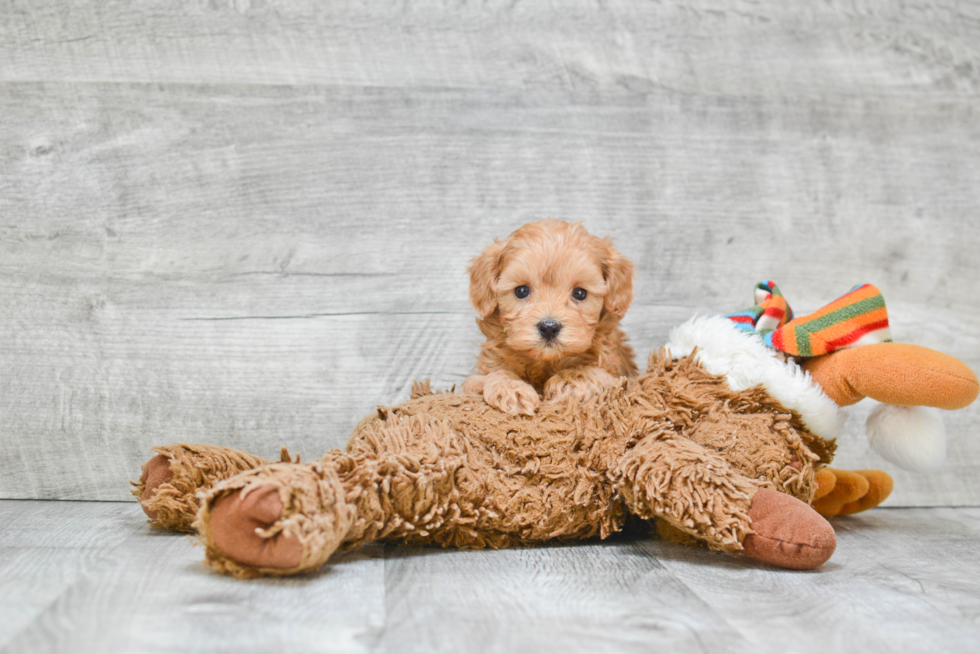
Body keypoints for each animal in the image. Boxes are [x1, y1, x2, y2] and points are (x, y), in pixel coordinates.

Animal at [464, 219, 640, 416]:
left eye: (580, 293)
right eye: (521, 291)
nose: (549, 327)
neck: (545, 363)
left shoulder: (620, 376)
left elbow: (594, 373)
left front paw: (568, 380)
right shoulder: (475, 379)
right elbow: (490, 376)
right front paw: (511, 388)